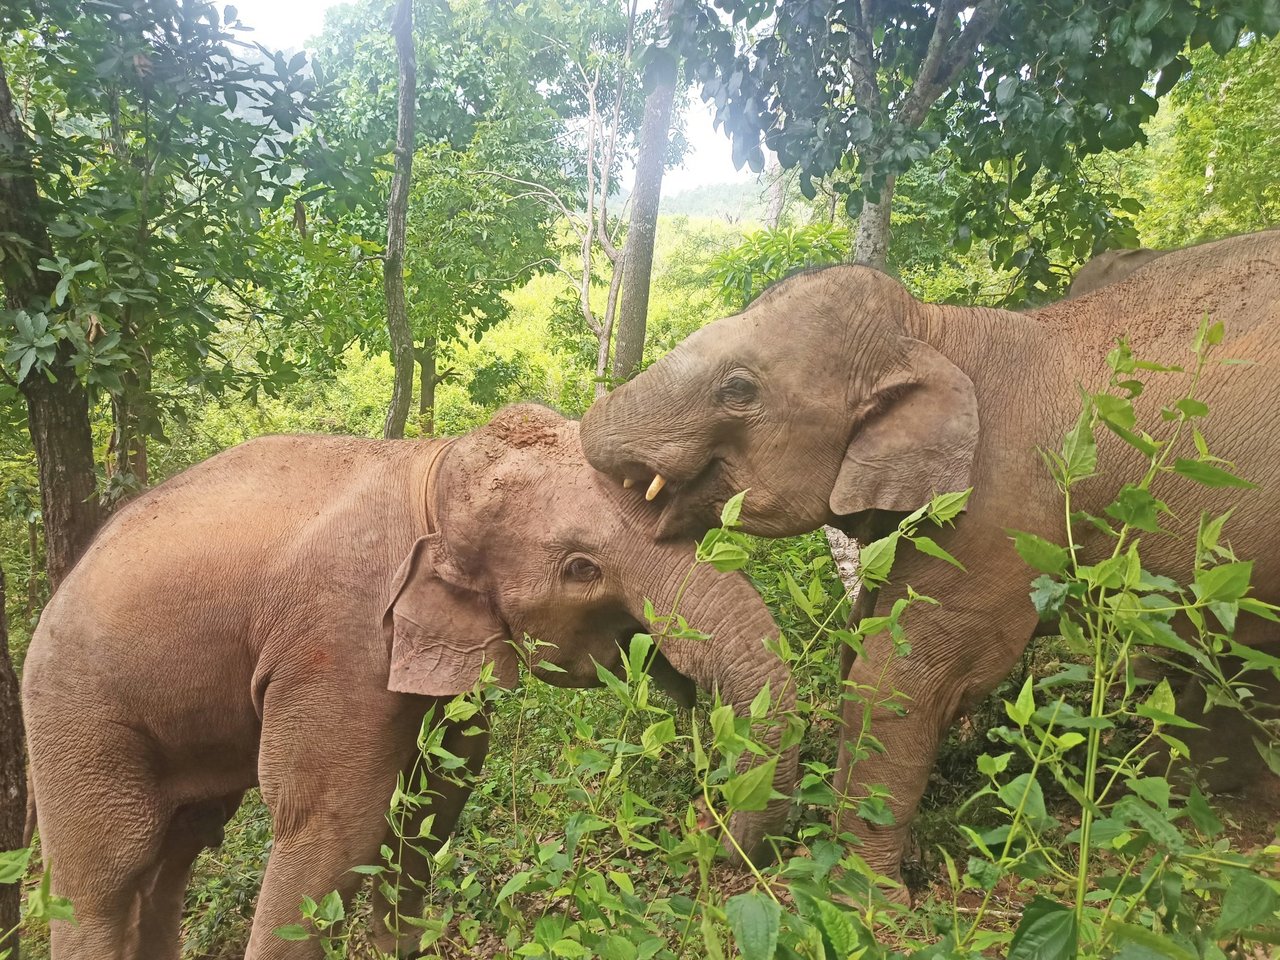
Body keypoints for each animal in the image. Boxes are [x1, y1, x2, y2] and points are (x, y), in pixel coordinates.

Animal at [22, 401, 798, 957]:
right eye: (582, 568)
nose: (718, 828)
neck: (432, 465)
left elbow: (435, 799)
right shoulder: (339, 636)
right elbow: (334, 822)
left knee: (176, 853)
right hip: (77, 711)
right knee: (107, 871)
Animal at [581, 229, 1280, 890]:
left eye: (739, 388)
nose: (711, 830)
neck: (934, 329)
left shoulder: (1003, 509)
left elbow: (902, 674)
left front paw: (858, 895)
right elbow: (862, 637)